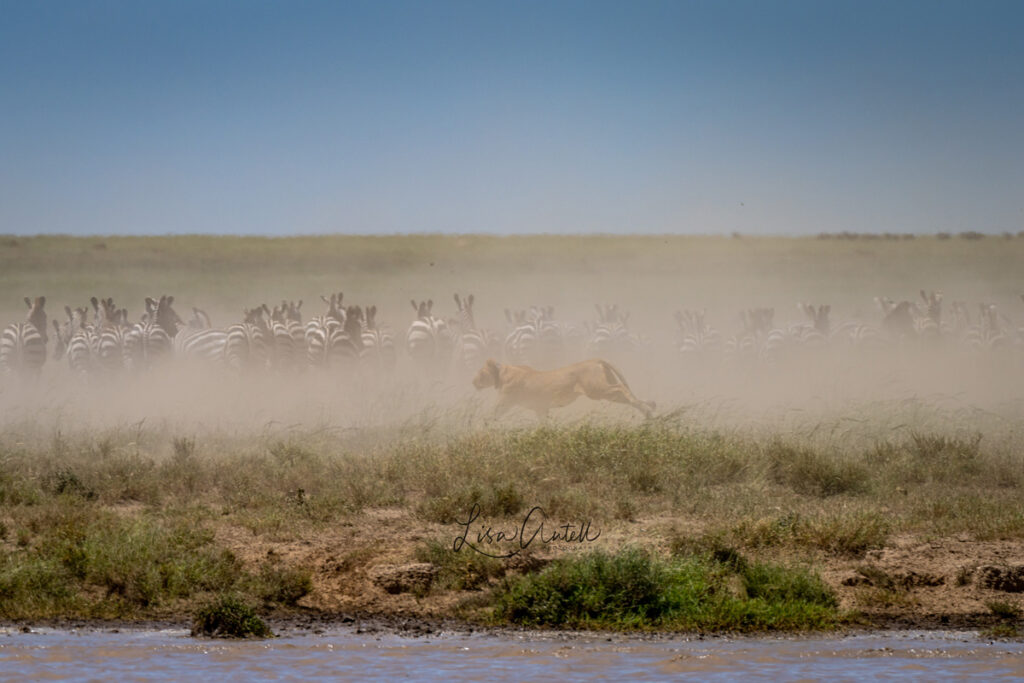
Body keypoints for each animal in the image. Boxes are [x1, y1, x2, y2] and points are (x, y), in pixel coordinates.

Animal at [472, 358, 656, 419]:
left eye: (480, 373)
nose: (473, 382)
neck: (500, 374)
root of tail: (595, 359)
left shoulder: (504, 402)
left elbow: (490, 416)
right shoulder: (541, 408)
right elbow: (543, 425)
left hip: (596, 390)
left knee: (621, 387)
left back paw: (647, 407)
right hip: (603, 390)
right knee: (625, 395)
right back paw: (648, 411)